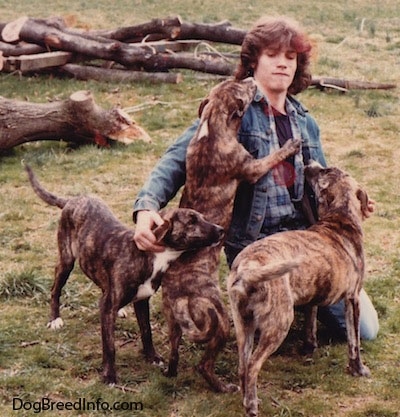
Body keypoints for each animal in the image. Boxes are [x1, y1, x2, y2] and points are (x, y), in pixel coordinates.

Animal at [25, 163, 225, 384]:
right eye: (191, 221)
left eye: (203, 218)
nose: (221, 229)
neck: (151, 255)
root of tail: (73, 200)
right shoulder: (108, 307)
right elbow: (110, 346)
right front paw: (110, 375)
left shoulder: (142, 300)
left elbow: (146, 331)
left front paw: (152, 357)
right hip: (66, 260)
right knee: (55, 289)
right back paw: (55, 319)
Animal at [159, 77, 300, 390]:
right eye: (243, 89)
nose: (251, 79)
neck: (211, 127)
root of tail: (180, 298)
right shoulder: (252, 167)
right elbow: (272, 156)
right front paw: (290, 145)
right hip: (221, 321)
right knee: (203, 364)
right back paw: (222, 387)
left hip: (174, 323)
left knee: (174, 352)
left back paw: (170, 372)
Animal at [228, 160, 372, 416]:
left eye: (324, 171)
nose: (308, 163)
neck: (339, 219)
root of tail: (247, 267)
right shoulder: (352, 299)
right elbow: (354, 342)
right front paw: (358, 370)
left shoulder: (313, 298)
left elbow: (310, 326)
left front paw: (309, 348)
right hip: (279, 322)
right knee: (253, 365)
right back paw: (252, 404)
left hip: (244, 325)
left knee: (243, 366)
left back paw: (246, 397)